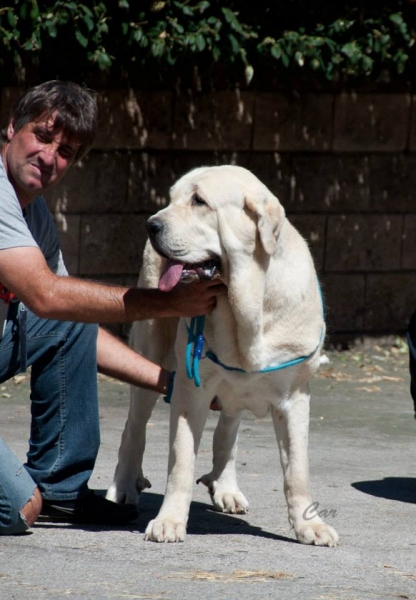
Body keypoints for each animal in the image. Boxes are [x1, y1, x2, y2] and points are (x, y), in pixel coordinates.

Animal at [107, 165, 338, 548]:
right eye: (172, 197)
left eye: (199, 201)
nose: (151, 225)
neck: (246, 308)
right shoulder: (190, 391)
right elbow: (180, 463)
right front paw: (169, 522)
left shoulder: (295, 398)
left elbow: (297, 470)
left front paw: (310, 525)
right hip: (151, 351)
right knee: (134, 427)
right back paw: (123, 485)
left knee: (227, 432)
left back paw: (226, 487)